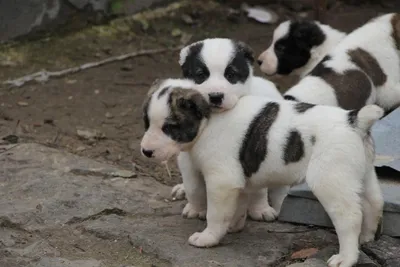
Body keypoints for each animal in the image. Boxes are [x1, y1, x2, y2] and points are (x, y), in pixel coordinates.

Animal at [141, 79, 384, 267]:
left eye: (169, 127)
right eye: (147, 123)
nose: (145, 151)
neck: (208, 122)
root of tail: (354, 120)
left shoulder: (221, 182)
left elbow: (216, 214)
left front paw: (209, 237)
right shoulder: (236, 182)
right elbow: (236, 207)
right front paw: (232, 226)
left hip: (331, 182)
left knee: (350, 217)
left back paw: (347, 257)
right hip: (361, 175)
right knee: (373, 203)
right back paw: (366, 239)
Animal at [170, 37, 286, 225]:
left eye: (230, 75)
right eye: (200, 75)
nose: (216, 96)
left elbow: (259, 190)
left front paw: (260, 210)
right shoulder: (187, 158)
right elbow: (193, 187)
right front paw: (196, 209)